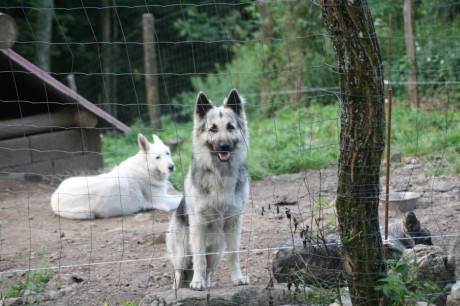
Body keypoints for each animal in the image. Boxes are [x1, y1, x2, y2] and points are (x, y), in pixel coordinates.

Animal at [49, 133, 180, 219]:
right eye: (157, 157)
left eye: (168, 153)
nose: (172, 167)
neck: (146, 169)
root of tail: (54, 197)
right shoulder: (164, 202)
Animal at [167, 88, 250, 290]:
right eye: (213, 128)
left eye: (230, 127)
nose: (224, 146)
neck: (220, 174)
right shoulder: (198, 225)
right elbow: (199, 257)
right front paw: (197, 282)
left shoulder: (234, 222)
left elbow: (233, 255)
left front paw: (237, 278)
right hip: (182, 253)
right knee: (180, 272)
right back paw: (184, 285)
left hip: (217, 251)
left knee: (210, 269)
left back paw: (207, 282)